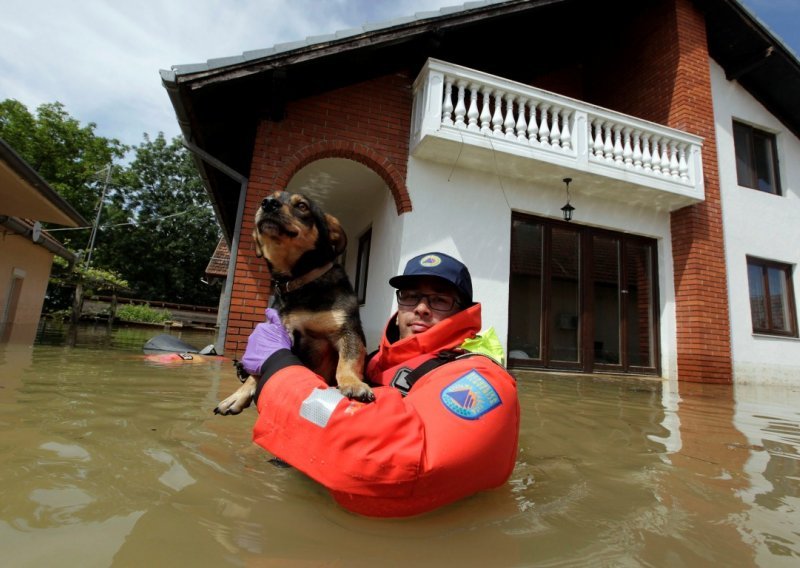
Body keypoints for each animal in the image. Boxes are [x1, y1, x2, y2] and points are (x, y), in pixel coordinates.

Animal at [214, 192, 374, 418]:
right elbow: (262, 369)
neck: (299, 282)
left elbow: (347, 362)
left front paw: (353, 383)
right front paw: (238, 395)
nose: (267, 204)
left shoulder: (348, 332)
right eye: (267, 199)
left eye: (302, 206)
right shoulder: (283, 332)